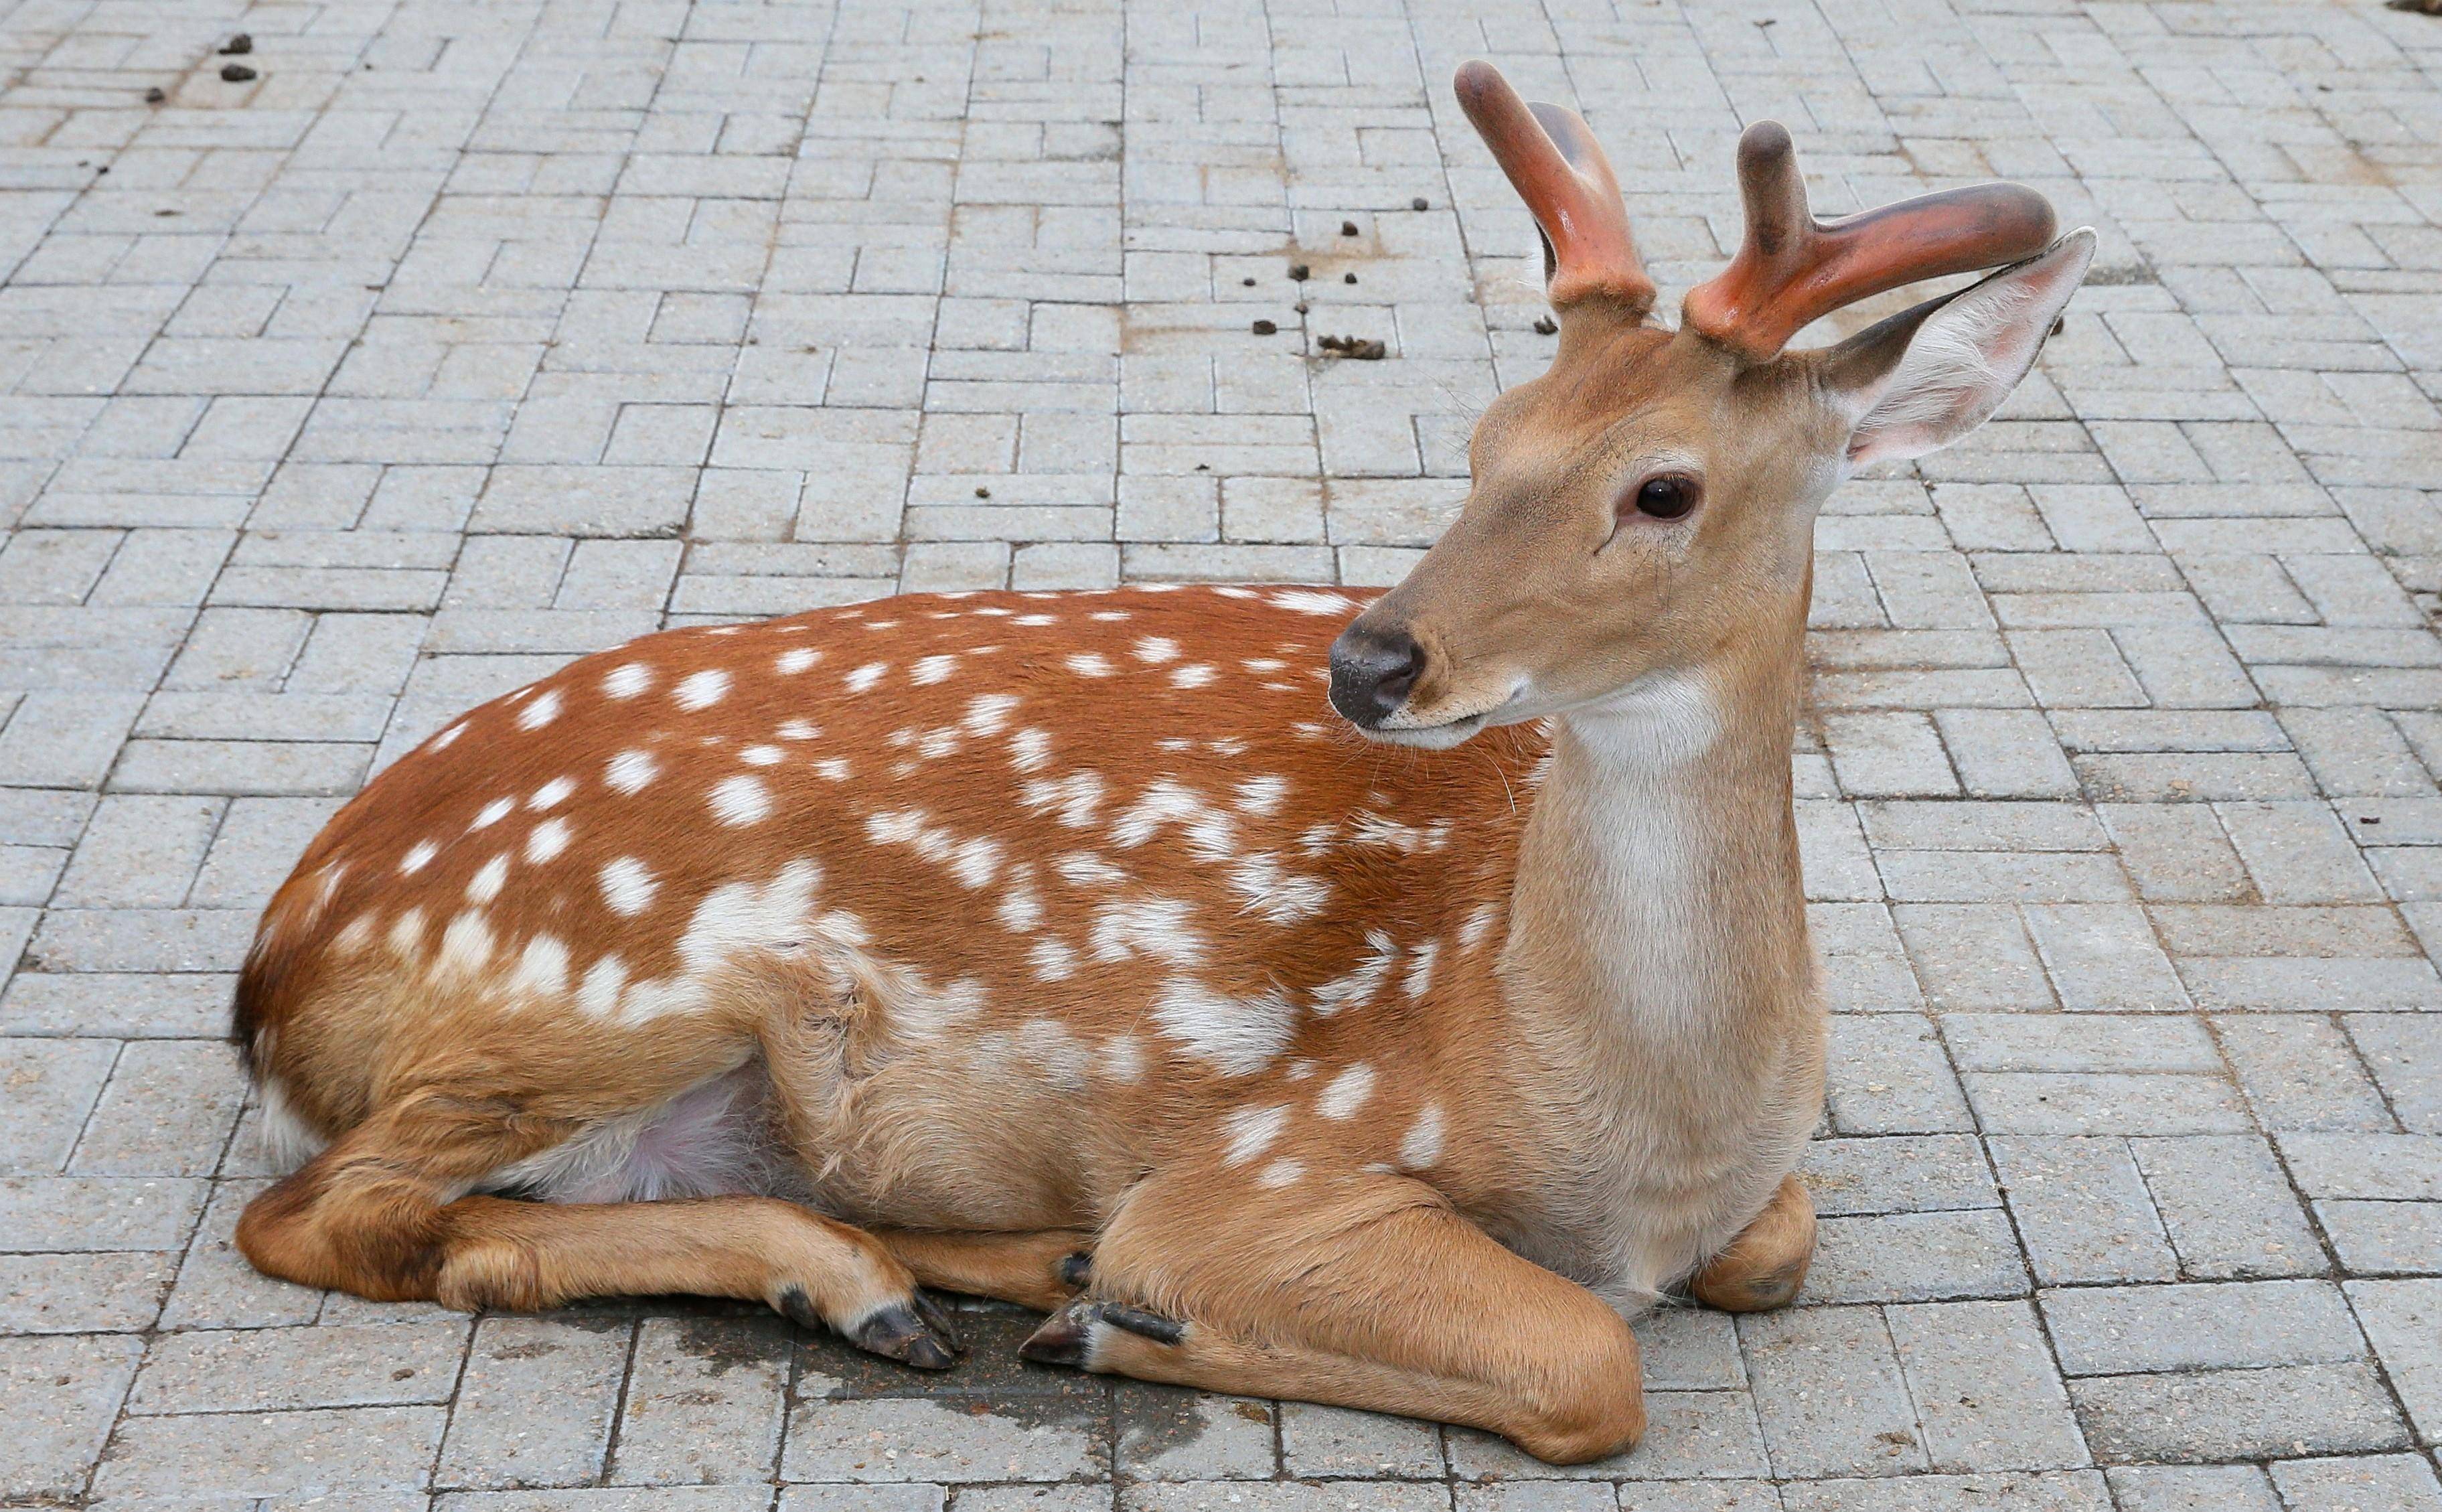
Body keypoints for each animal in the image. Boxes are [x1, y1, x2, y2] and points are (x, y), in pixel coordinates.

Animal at [233, 65, 2100, 1465]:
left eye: (1662, 487)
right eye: (1484, 436)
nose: (1371, 657)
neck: (1620, 1113)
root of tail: (271, 972)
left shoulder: (1744, 1192)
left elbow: (1773, 1248)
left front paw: (1084, 1304)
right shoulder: (1267, 1170)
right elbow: (1589, 1358)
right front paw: (1128, 1324)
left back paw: (971, 1269)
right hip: (611, 979)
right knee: (332, 1216)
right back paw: (901, 1284)